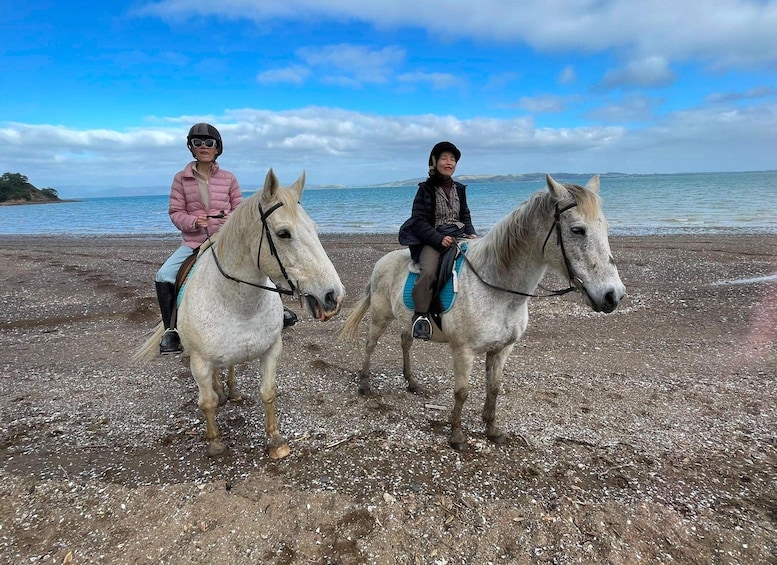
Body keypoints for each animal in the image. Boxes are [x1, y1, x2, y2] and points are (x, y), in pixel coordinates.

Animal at [134, 169, 345, 459]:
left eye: (314, 229)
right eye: (283, 233)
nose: (333, 296)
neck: (238, 305)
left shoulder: (272, 350)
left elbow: (268, 392)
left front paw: (275, 441)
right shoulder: (199, 361)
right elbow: (207, 402)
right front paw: (215, 443)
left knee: (230, 366)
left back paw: (231, 391)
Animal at [340, 174, 625, 450]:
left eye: (605, 229)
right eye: (577, 230)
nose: (613, 295)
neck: (496, 288)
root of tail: (381, 261)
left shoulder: (502, 349)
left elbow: (494, 388)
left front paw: (492, 430)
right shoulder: (463, 351)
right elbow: (462, 392)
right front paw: (457, 436)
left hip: (406, 321)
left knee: (405, 342)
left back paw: (412, 383)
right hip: (380, 316)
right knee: (370, 345)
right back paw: (364, 385)